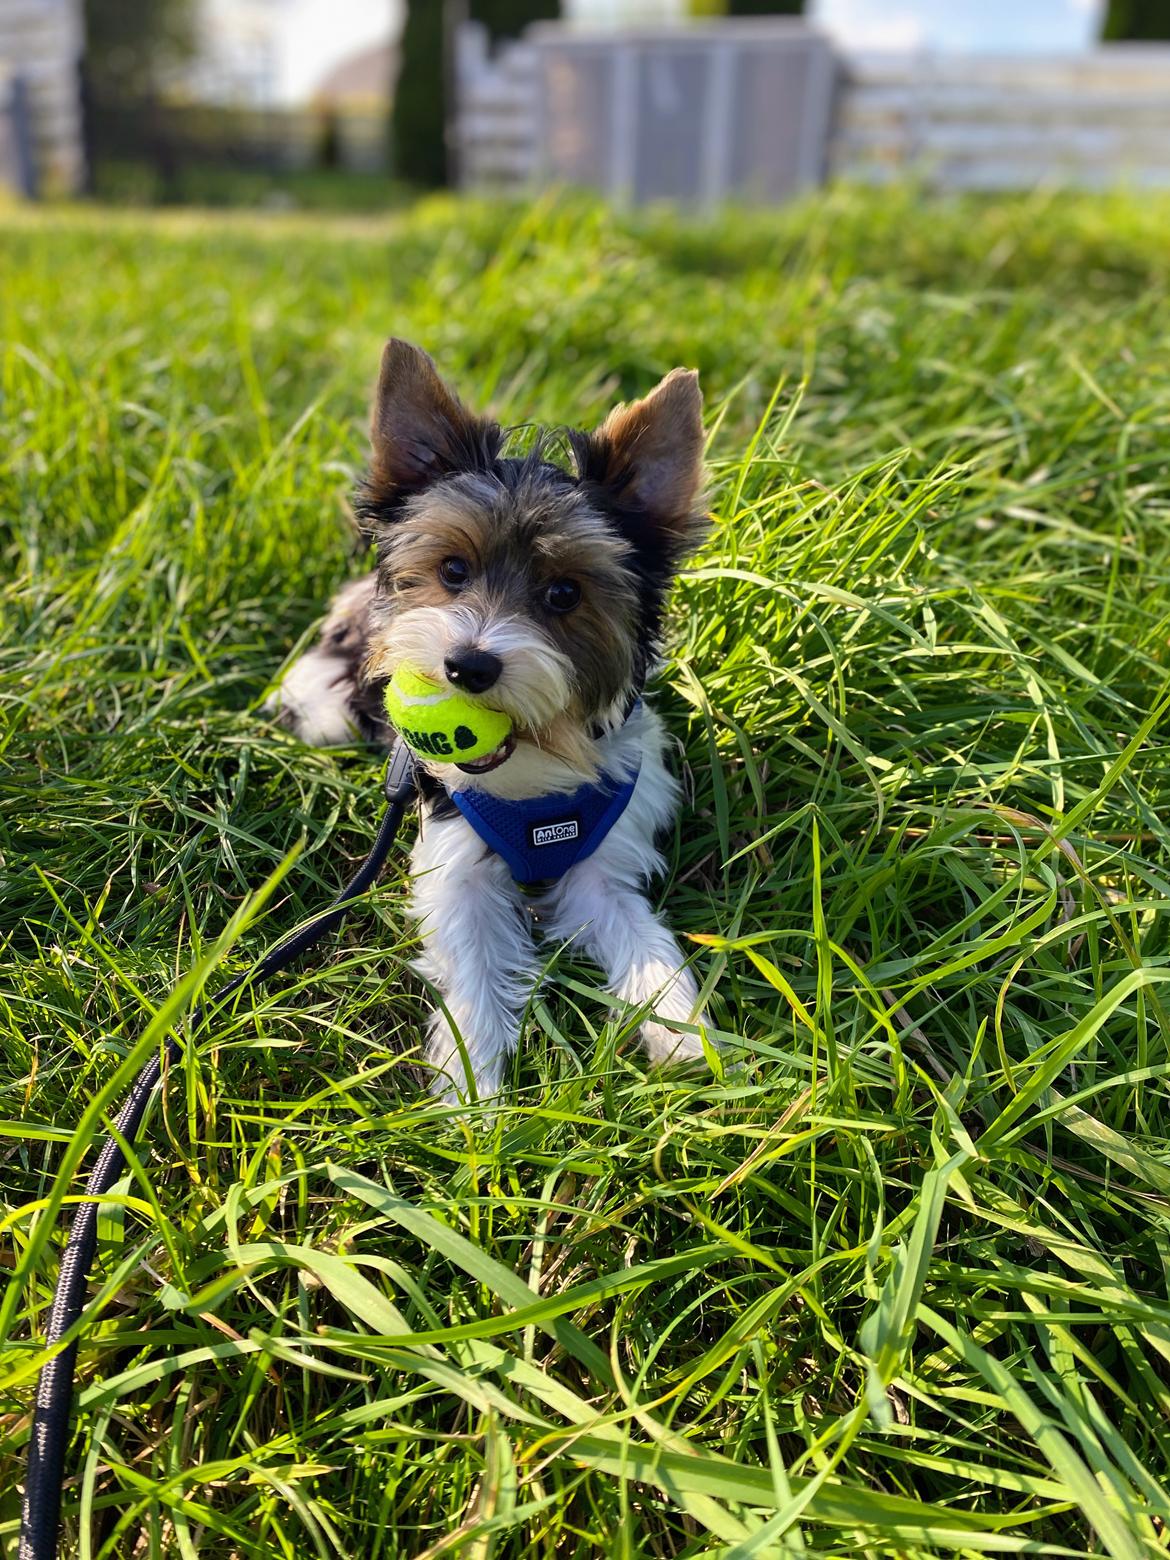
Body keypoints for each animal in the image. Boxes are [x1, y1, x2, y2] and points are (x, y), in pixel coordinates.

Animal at [274, 340, 714, 1098]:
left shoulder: (603, 858)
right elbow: (473, 971)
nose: (468, 667)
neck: (534, 775)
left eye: (564, 594)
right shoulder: (458, 868)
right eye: (453, 570)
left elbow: (636, 929)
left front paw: (682, 1031)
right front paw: (472, 1095)